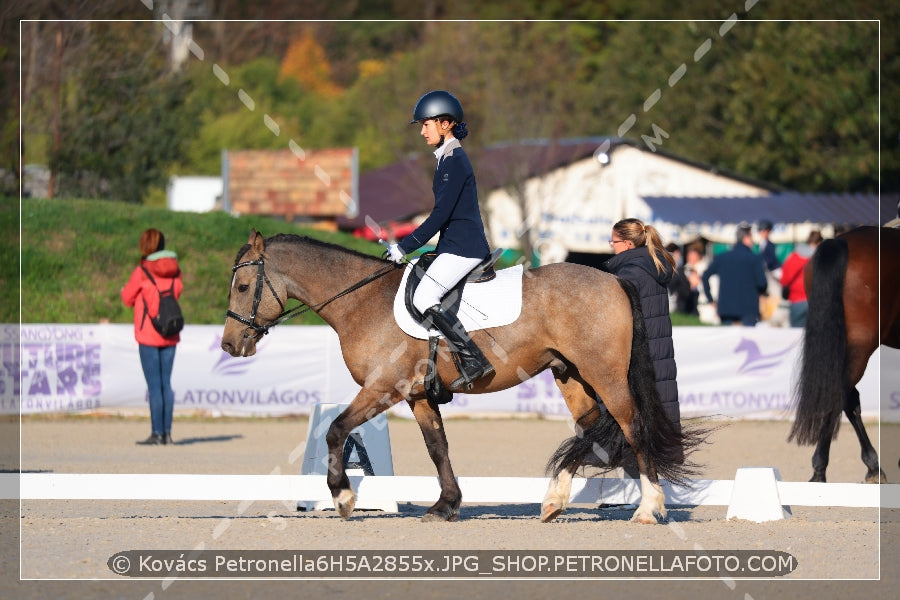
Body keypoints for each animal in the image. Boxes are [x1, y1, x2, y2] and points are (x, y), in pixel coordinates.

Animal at [221, 232, 700, 524]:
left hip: (605, 374)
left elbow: (336, 430)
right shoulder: (416, 394)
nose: (229, 345)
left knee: (632, 427)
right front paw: (446, 505)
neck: (360, 301)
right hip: (571, 375)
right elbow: (438, 448)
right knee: (593, 429)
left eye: (243, 287)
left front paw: (342, 497)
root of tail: (612, 279)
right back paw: (554, 500)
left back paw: (648, 509)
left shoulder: (382, 388)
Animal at [788, 225, 900, 482]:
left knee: (848, 398)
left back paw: (872, 467)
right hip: (861, 345)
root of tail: (840, 242)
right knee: (840, 395)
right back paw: (821, 472)